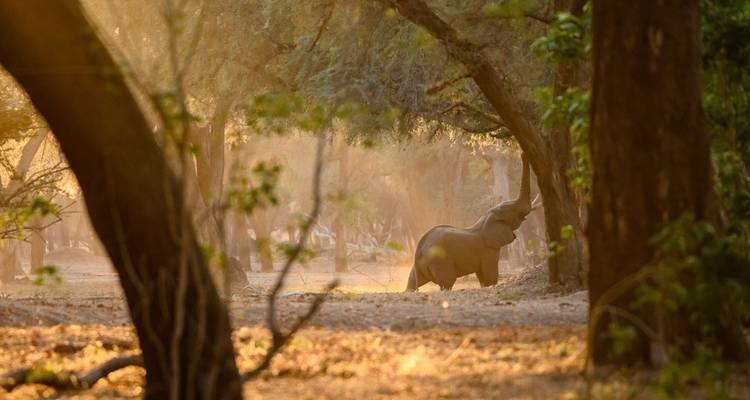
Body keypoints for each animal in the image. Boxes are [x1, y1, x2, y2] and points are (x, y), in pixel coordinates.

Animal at [406, 153, 533, 291]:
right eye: (513, 212)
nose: (523, 154)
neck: (486, 218)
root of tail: (419, 248)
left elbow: (483, 276)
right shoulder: (489, 249)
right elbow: (489, 277)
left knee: (413, 281)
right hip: (439, 260)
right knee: (447, 282)